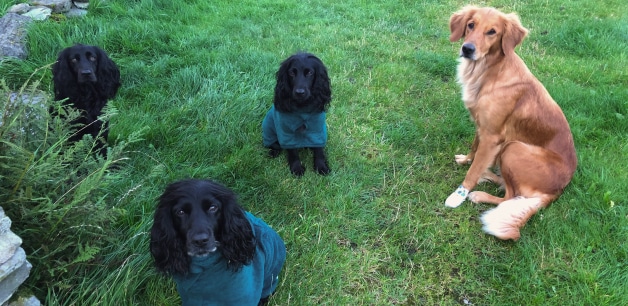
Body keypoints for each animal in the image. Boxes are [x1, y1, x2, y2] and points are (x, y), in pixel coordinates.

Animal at [444, 4, 576, 239]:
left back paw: (478, 194)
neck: (486, 71)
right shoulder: (481, 125)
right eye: (471, 25)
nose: (467, 49)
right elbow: (474, 149)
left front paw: (459, 194)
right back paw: (488, 174)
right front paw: (467, 160)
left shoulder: (492, 136)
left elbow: (472, 172)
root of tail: (558, 190)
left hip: (513, 148)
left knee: (511, 196)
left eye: (492, 32)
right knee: (509, 189)